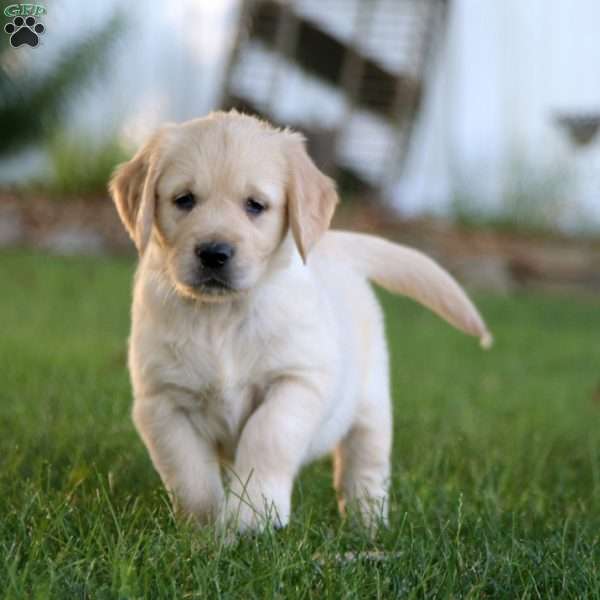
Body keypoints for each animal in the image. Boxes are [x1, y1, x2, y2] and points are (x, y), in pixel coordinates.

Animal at [109, 110, 492, 532]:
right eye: (184, 200)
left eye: (255, 205)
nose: (213, 253)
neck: (223, 315)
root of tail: (338, 246)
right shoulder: (161, 400)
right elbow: (188, 471)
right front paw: (206, 529)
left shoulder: (298, 379)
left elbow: (267, 434)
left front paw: (253, 514)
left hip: (371, 405)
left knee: (365, 466)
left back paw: (367, 525)